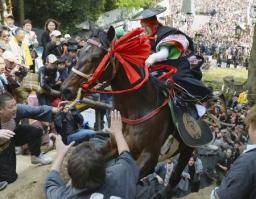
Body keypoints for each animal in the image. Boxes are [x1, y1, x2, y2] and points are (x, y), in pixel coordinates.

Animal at [61, 26, 194, 191]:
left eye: (97, 57)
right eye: (79, 53)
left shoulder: (149, 157)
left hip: (188, 147)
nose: (65, 89)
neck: (136, 111)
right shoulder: (113, 145)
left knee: (175, 177)